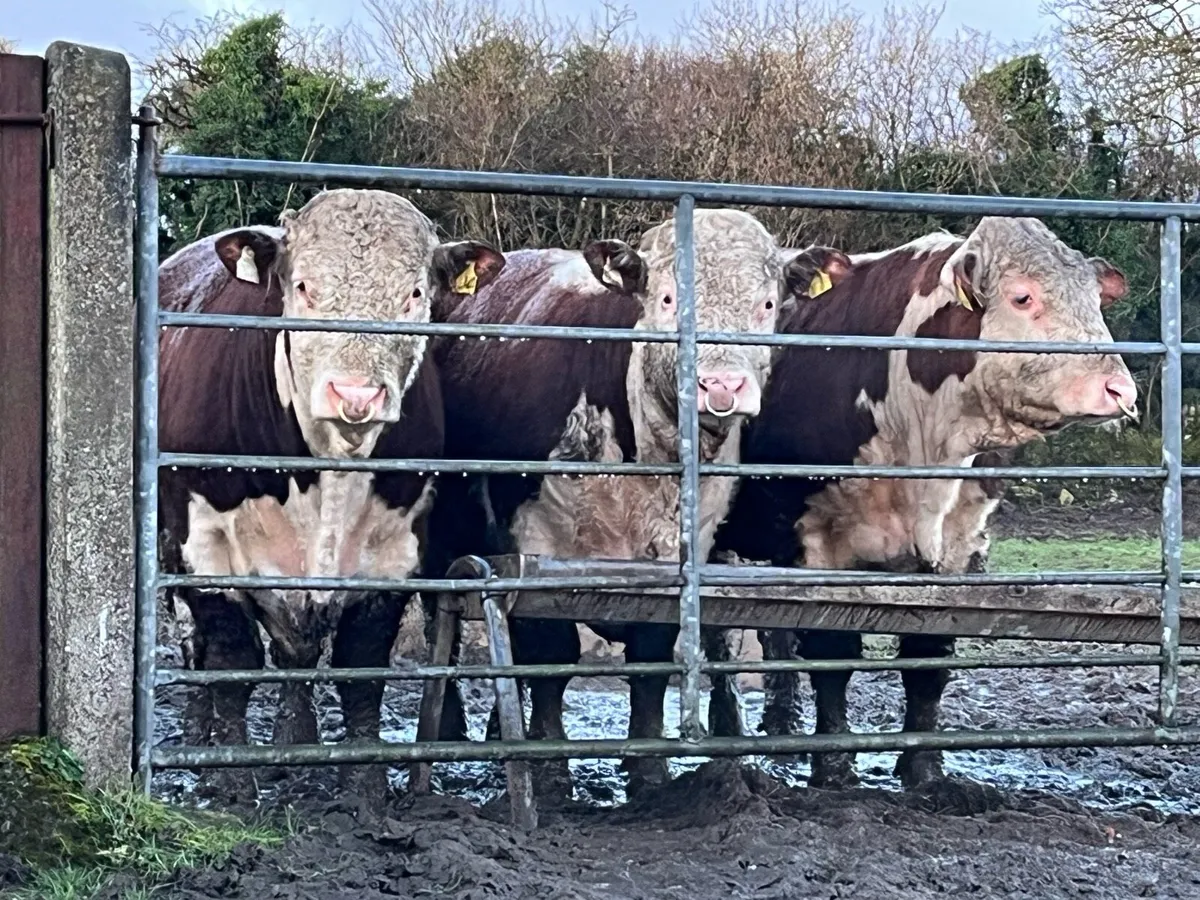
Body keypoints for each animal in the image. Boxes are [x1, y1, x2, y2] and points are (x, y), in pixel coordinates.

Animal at [157, 188, 504, 801]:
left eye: (415, 293)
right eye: (303, 287)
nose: (357, 395)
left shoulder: (394, 551)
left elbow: (361, 664)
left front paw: (364, 787)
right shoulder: (203, 544)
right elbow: (231, 658)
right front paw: (231, 784)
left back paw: (293, 741)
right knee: (195, 646)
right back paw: (203, 736)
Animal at [423, 209, 847, 797]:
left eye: (766, 305)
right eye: (667, 299)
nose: (722, 385)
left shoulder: (680, 555)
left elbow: (652, 653)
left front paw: (648, 768)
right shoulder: (532, 539)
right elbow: (550, 651)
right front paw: (550, 766)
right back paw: (452, 726)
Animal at [709, 215, 1138, 790]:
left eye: (1095, 301)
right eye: (1023, 296)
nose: (1118, 390)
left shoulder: (966, 540)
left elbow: (931, 654)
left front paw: (925, 768)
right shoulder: (818, 540)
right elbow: (831, 654)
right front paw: (835, 766)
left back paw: (782, 728)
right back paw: (726, 732)